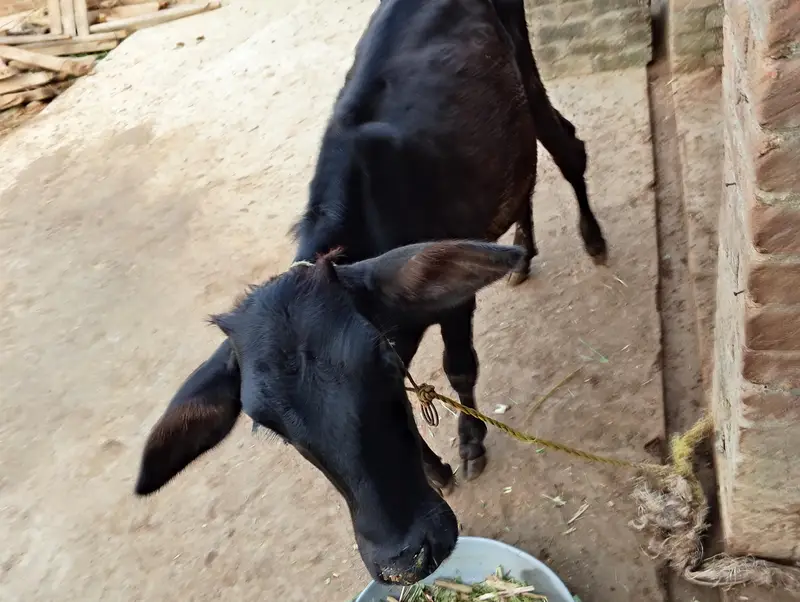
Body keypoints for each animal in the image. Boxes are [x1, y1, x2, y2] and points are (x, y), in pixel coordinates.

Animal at [133, 0, 607, 587]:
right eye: (267, 425)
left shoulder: (450, 302)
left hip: (527, 70)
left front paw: (470, 444)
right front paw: (437, 468)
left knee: (565, 146)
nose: (405, 560)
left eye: (378, 361)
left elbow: (459, 368)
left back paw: (593, 239)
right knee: (525, 179)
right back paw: (524, 251)